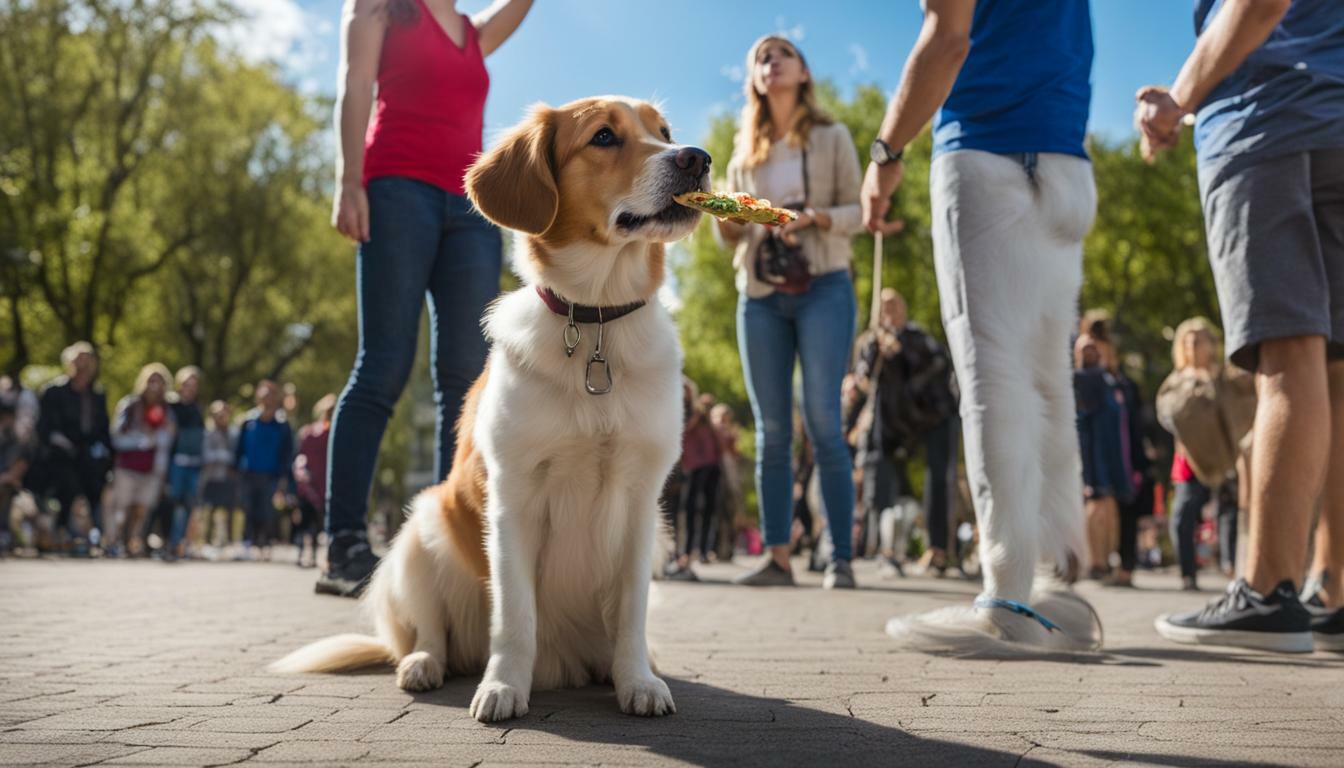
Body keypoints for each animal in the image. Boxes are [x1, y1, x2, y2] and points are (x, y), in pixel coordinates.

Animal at [272, 96, 715, 720]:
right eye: (604, 137)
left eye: (665, 132)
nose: (697, 158)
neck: (597, 322)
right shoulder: (514, 498)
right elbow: (516, 615)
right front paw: (503, 685)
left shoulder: (641, 501)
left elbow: (632, 612)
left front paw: (638, 682)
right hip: (421, 529)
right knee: (429, 632)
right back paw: (423, 665)